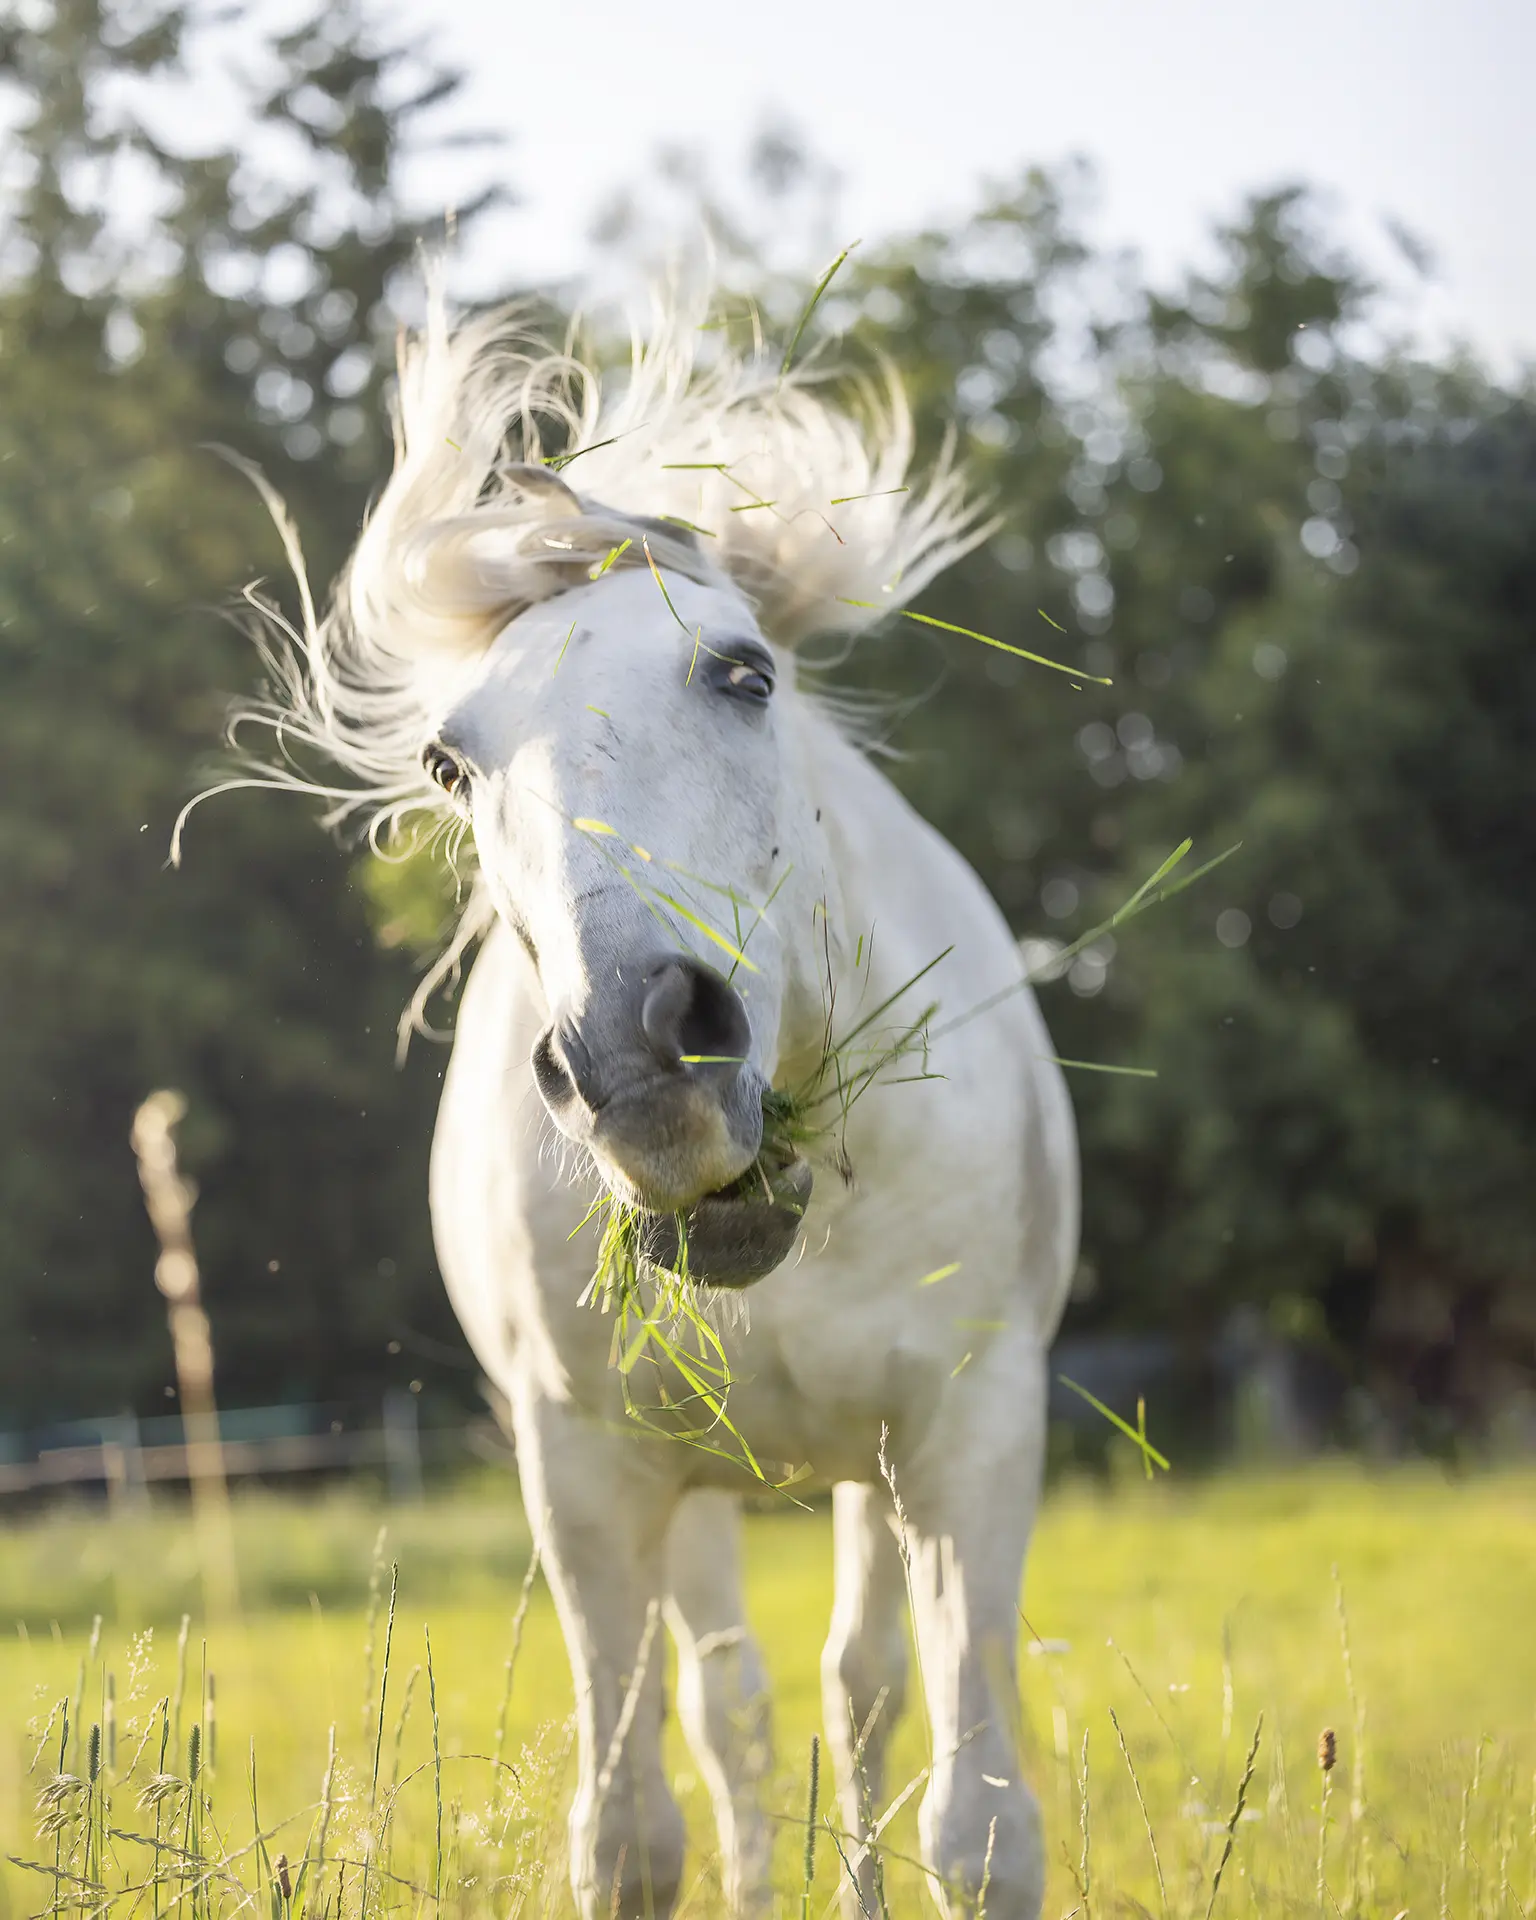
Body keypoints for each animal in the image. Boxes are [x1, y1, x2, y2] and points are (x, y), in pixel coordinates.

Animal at [197, 281, 1079, 1918]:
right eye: (447, 760)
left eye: (743, 670)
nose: (637, 1055)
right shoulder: (590, 1477)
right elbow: (629, 1828)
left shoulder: (968, 1434)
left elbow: (974, 1820)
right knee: (734, 1709)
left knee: (859, 1691)